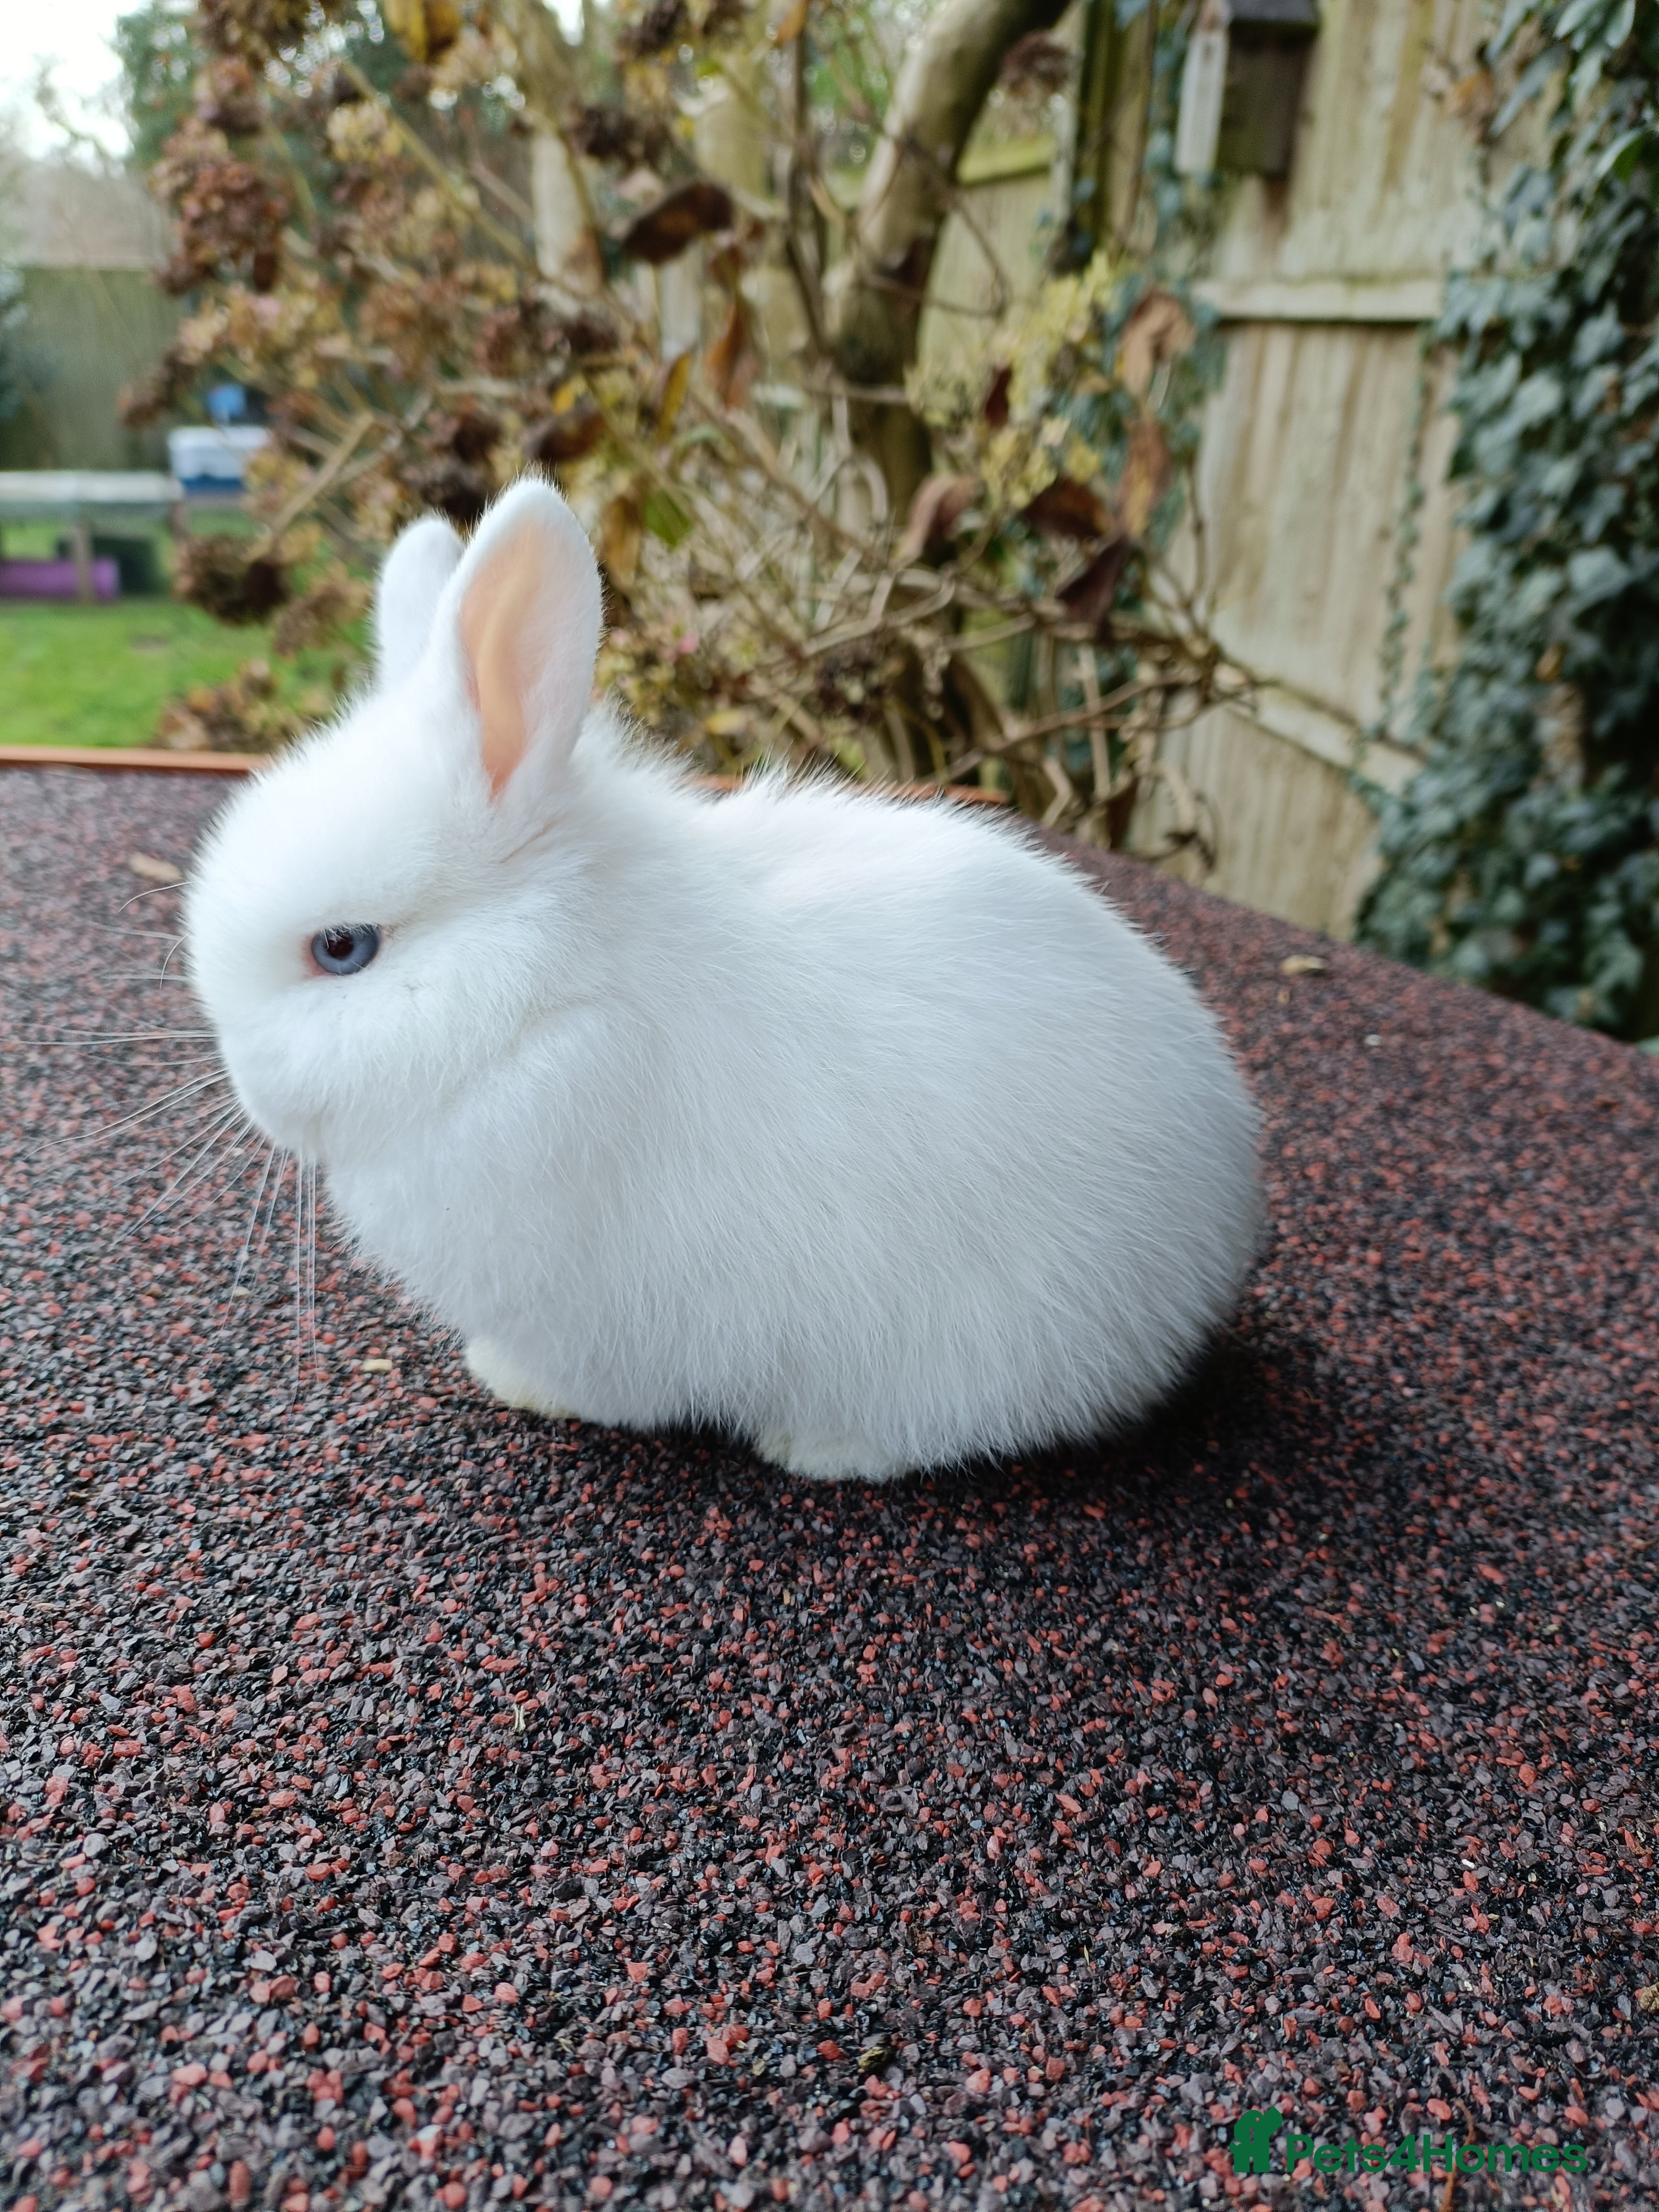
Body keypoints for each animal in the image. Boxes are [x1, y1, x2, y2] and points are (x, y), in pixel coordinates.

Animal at [185, 478, 1263, 1481]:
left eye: (342, 947)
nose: (252, 1094)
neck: (547, 999)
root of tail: (1213, 1244)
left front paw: (512, 1379)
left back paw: (821, 1447)